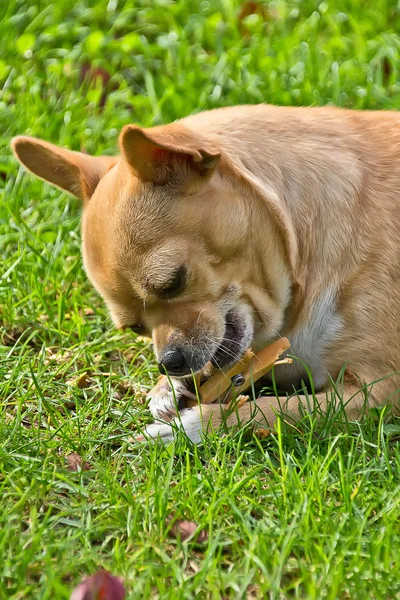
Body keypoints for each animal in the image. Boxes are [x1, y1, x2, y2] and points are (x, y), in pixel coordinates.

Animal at [10, 102, 400, 440]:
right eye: (136, 329)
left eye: (173, 282)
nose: (169, 363)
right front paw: (166, 390)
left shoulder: (376, 391)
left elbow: (276, 409)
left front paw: (197, 425)